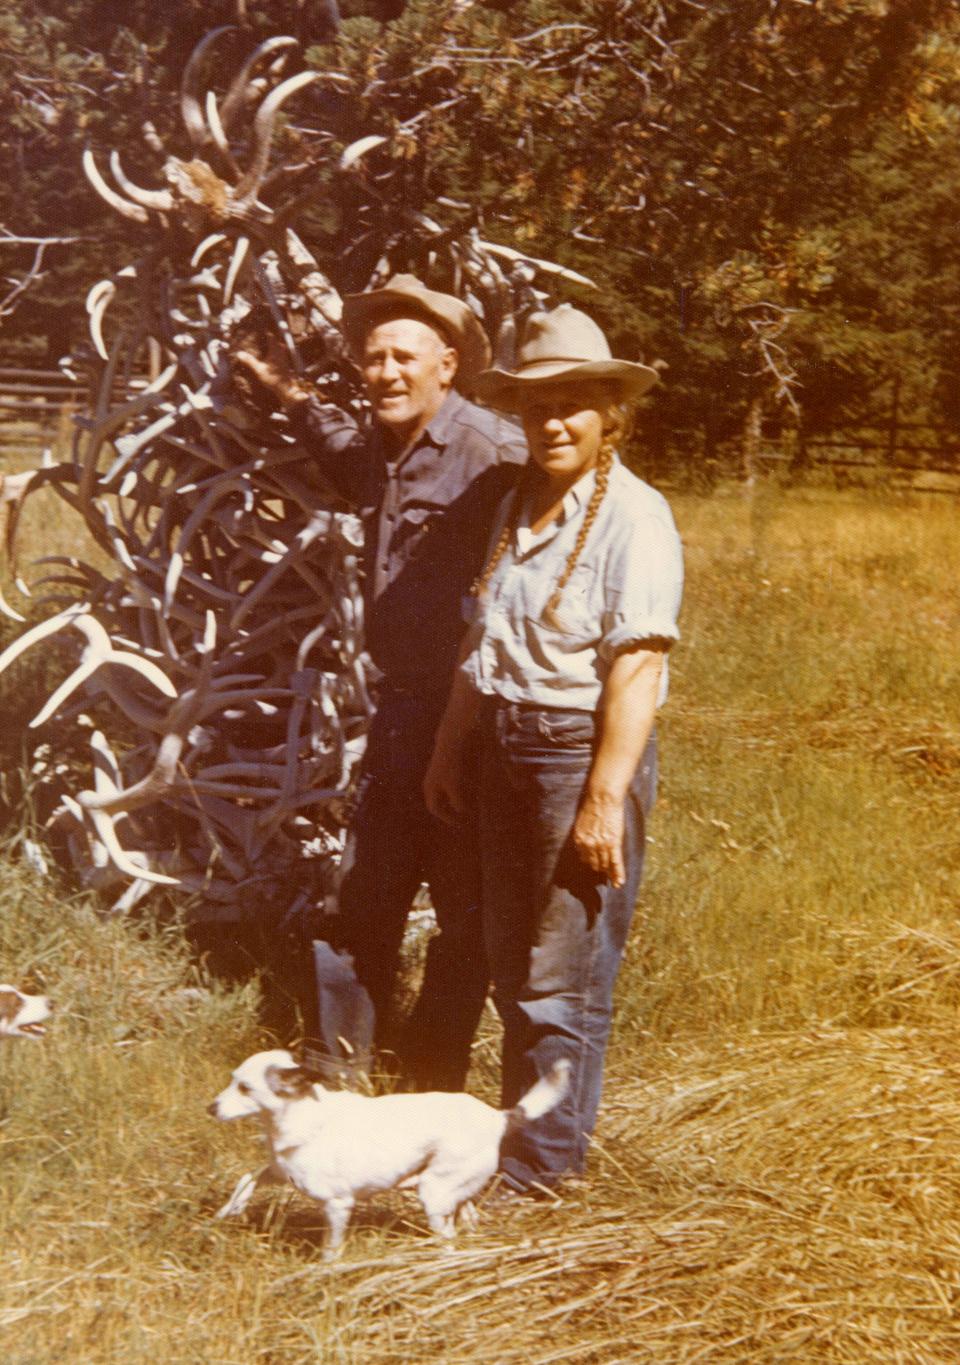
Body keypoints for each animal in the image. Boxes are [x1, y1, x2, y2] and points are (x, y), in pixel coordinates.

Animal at [208, 1042, 570, 1255]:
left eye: (245, 1088)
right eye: (232, 1080)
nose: (210, 1108)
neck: (299, 1115)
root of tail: (497, 1117)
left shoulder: (338, 1205)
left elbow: (331, 1249)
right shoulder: (278, 1172)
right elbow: (246, 1180)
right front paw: (228, 1211)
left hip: (433, 1192)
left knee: (448, 1238)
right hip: (454, 1188)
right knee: (466, 1214)